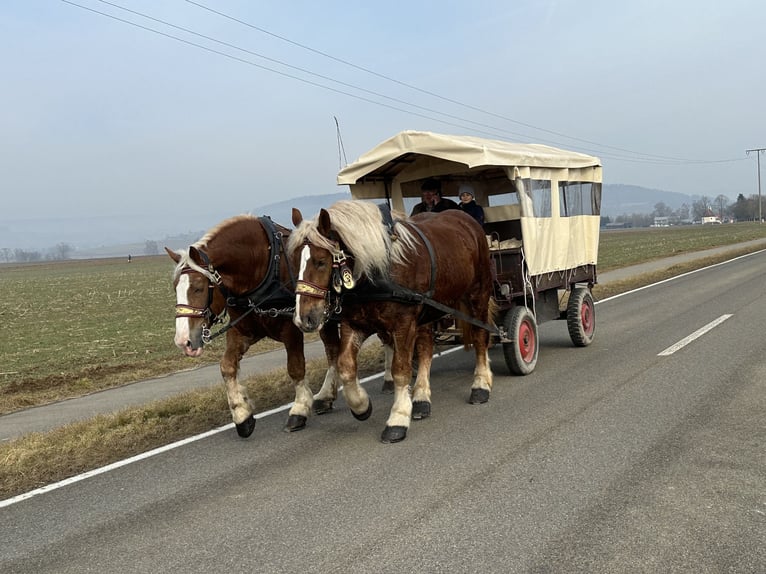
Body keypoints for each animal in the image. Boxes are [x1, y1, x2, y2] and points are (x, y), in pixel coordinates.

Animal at [167, 214, 342, 438]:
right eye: (175, 288)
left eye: (198, 288)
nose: (183, 341)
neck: (265, 266)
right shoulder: (242, 331)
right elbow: (227, 366)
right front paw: (242, 414)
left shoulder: (292, 327)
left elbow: (295, 368)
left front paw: (300, 409)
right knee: (333, 350)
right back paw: (327, 396)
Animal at [290, 202, 498, 446]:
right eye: (293, 262)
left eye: (321, 262)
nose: (303, 318)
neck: (377, 271)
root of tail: (466, 220)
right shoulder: (355, 324)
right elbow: (345, 367)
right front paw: (361, 405)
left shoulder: (403, 324)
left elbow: (400, 369)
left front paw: (398, 418)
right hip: (426, 312)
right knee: (426, 348)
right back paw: (421, 399)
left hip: (478, 294)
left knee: (480, 337)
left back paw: (481, 384)